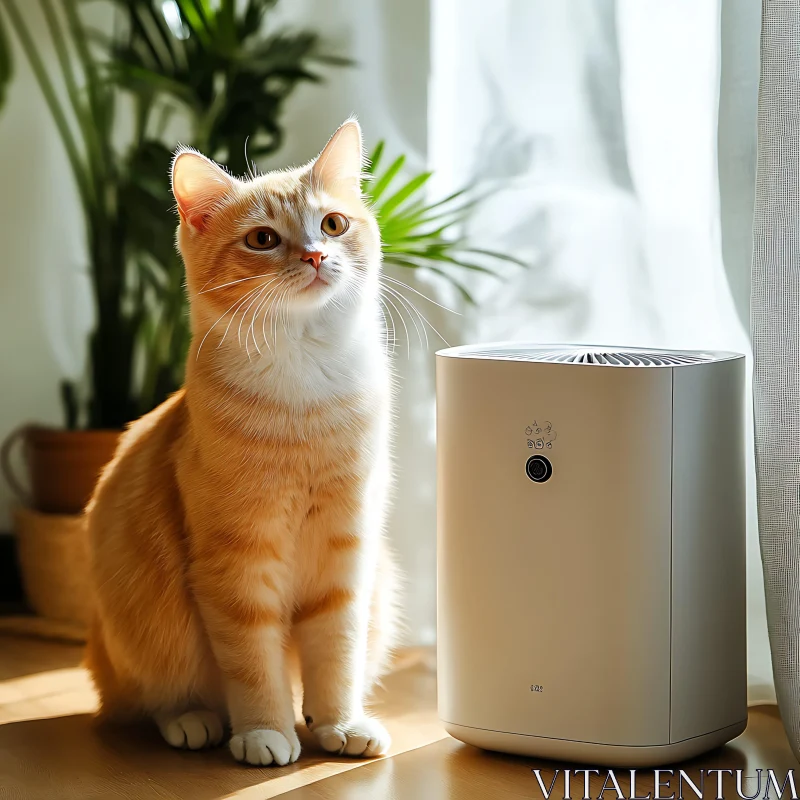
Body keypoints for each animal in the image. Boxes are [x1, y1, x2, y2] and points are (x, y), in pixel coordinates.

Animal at [84, 120, 400, 768]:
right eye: (262, 239)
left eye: (333, 224)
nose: (315, 254)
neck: (305, 394)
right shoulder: (236, 564)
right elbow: (254, 664)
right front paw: (263, 732)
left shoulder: (347, 554)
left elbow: (338, 651)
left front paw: (340, 721)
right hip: (143, 633)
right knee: (150, 698)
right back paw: (193, 720)